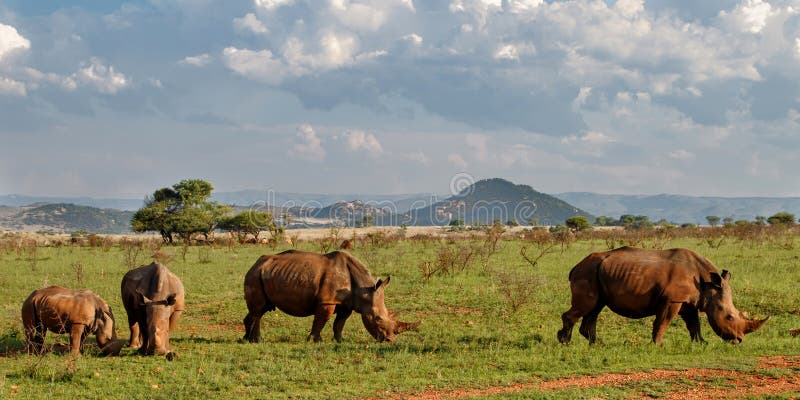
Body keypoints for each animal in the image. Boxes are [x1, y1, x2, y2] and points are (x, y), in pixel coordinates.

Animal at [242, 250, 418, 340]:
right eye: (377, 318)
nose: (390, 340)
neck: (364, 290)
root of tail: (255, 264)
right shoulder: (327, 301)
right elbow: (321, 321)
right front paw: (314, 341)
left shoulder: (347, 303)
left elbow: (339, 323)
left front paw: (339, 341)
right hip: (255, 275)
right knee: (258, 310)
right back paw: (257, 341)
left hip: (265, 274)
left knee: (261, 308)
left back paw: (245, 339)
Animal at [556, 245, 768, 346]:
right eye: (729, 317)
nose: (739, 340)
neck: (708, 285)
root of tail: (575, 266)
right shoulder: (672, 299)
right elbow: (663, 322)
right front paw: (657, 345)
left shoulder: (688, 302)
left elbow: (694, 324)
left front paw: (701, 343)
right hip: (588, 272)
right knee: (586, 307)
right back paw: (565, 342)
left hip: (596, 272)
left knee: (595, 308)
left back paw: (598, 344)